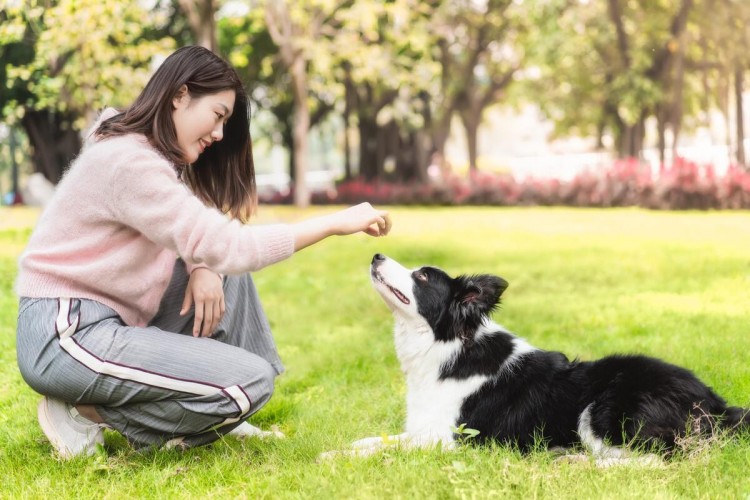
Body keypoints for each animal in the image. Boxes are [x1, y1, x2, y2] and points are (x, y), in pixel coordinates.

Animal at [336, 256, 750, 462]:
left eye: (421, 276)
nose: (376, 253)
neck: (448, 344)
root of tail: (716, 404)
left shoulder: (457, 439)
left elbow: (391, 447)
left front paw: (335, 456)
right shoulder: (427, 428)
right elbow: (378, 439)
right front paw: (349, 447)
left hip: (601, 410)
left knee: (654, 460)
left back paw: (575, 460)